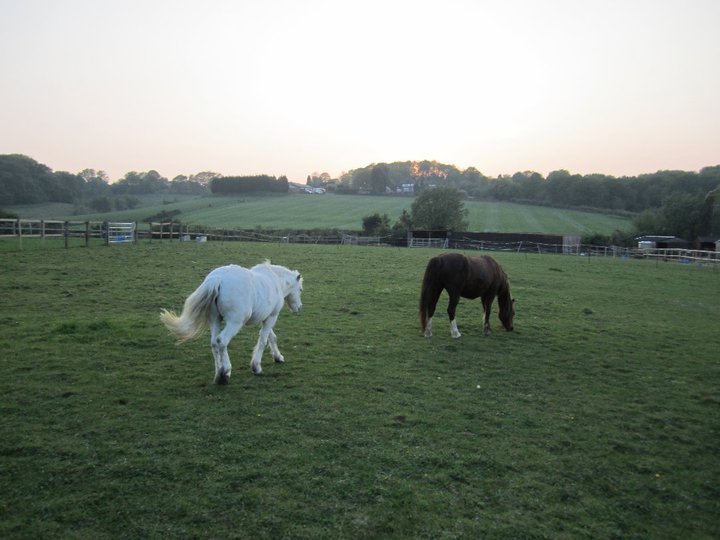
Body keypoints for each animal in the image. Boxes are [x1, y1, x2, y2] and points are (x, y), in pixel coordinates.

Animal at [160, 262, 303, 384]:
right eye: (300, 289)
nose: (300, 308)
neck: (275, 280)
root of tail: (218, 279)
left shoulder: (264, 318)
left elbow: (271, 337)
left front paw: (278, 357)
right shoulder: (271, 317)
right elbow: (263, 340)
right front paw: (256, 367)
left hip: (215, 319)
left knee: (214, 343)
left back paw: (219, 374)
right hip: (234, 323)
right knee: (222, 341)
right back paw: (225, 372)